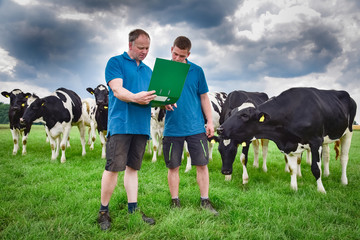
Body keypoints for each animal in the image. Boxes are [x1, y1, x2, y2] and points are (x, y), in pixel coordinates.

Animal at [217, 87, 358, 193]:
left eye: (244, 115)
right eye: (231, 114)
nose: (220, 129)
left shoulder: (316, 141)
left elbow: (316, 168)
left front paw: (321, 190)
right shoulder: (289, 145)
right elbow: (292, 168)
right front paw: (294, 188)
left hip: (348, 132)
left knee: (344, 158)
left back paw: (344, 181)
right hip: (327, 139)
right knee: (327, 156)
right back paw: (327, 174)